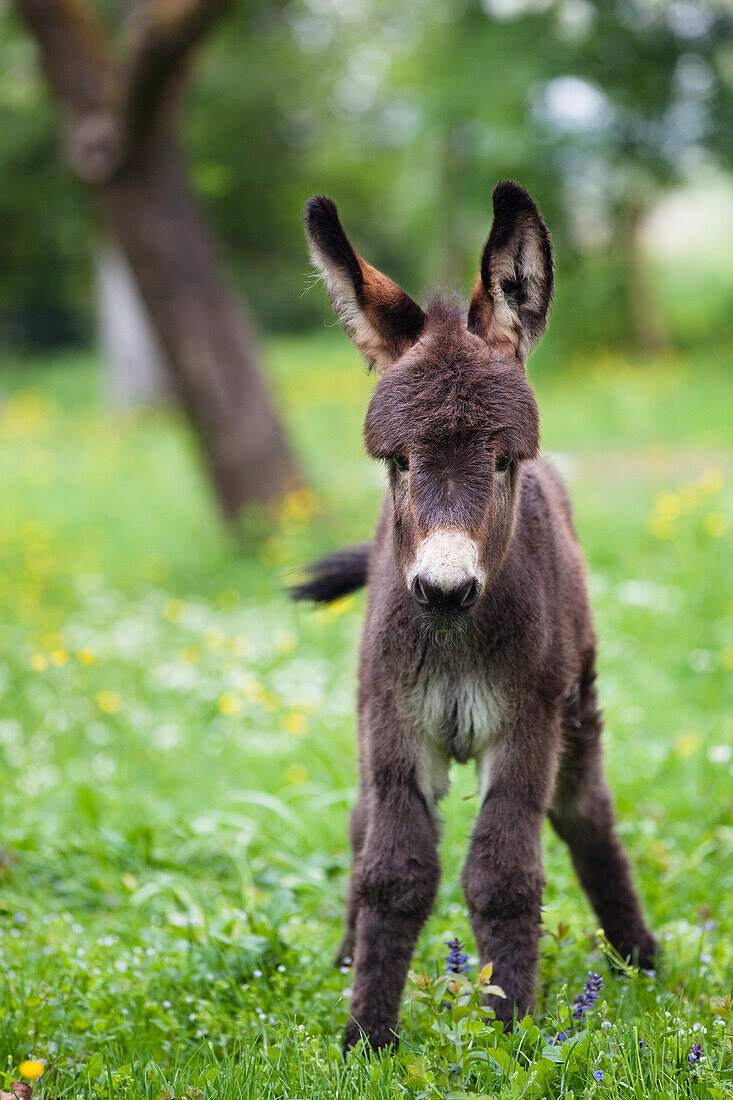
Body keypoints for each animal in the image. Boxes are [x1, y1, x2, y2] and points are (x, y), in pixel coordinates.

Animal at [292, 184, 655, 1051]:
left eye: (499, 461)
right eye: (398, 462)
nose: (444, 589)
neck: (458, 639)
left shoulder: (525, 723)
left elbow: (501, 873)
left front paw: (513, 1034)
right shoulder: (393, 721)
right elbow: (391, 870)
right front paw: (365, 1039)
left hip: (575, 713)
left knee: (585, 814)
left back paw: (639, 960)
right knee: (358, 823)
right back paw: (342, 955)